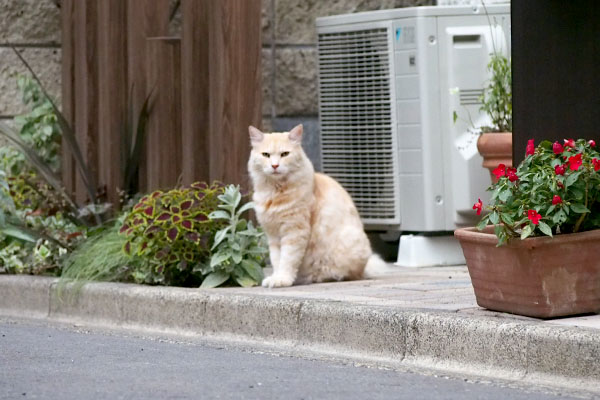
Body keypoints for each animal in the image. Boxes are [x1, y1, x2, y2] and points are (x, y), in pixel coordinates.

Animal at [246, 125, 386, 288]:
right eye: (266, 155)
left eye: (285, 154)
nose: (275, 165)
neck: (275, 192)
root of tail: (365, 268)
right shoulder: (273, 235)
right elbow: (276, 260)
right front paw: (276, 277)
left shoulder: (294, 232)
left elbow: (287, 259)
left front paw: (282, 279)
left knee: (346, 274)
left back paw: (317, 277)